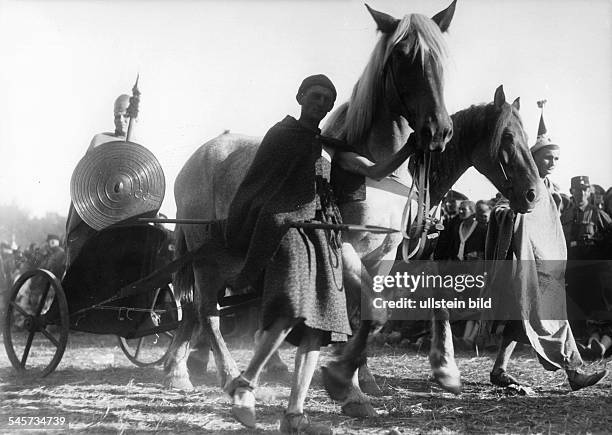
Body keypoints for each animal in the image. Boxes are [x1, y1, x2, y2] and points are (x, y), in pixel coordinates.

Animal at [164, 1, 460, 402]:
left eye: (442, 57)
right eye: (402, 56)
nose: (437, 131)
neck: (372, 173)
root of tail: (199, 156)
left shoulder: (383, 254)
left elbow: (366, 314)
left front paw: (360, 377)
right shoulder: (344, 246)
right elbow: (368, 314)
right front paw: (342, 375)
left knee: (196, 310)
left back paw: (178, 370)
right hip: (205, 256)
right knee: (206, 311)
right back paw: (225, 375)